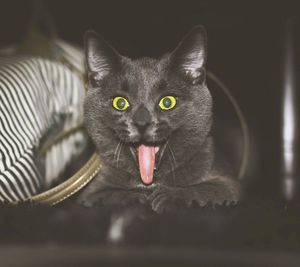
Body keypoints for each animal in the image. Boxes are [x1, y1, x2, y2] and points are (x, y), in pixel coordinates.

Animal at [78, 25, 241, 214]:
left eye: (167, 102)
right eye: (120, 102)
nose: (142, 123)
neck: (149, 181)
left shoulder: (227, 183)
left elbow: (203, 190)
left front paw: (166, 195)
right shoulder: (92, 190)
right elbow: (108, 194)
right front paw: (138, 196)